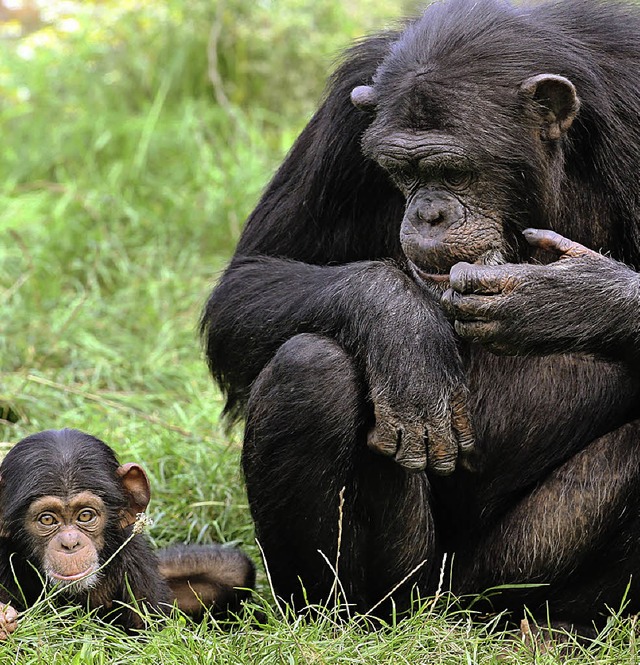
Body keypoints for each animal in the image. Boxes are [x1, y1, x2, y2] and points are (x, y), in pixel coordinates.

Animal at [201, 0, 640, 624]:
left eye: (454, 170)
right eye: (403, 170)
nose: (429, 213)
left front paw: (567, 298)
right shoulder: (345, 114)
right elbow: (247, 280)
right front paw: (404, 332)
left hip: (510, 571)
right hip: (408, 580)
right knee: (310, 367)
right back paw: (330, 617)